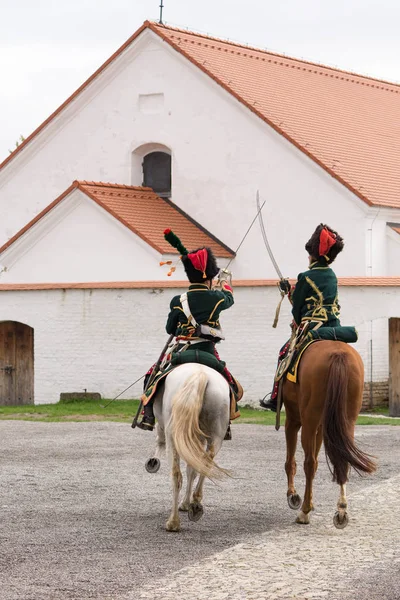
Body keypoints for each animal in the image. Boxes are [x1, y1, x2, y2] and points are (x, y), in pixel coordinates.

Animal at [145, 364, 230, 532]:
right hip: (216, 438)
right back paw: (195, 505)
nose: (152, 461)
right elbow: (193, 470)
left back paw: (173, 522)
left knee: (176, 475)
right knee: (205, 466)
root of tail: (200, 375)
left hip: (173, 437)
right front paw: (186, 503)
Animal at [282, 340, 376, 528]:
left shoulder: (293, 419)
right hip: (347, 420)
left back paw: (304, 512)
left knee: (309, 463)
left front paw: (293, 495)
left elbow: (292, 461)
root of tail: (338, 355)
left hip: (309, 420)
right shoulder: (321, 427)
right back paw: (341, 510)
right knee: (343, 459)